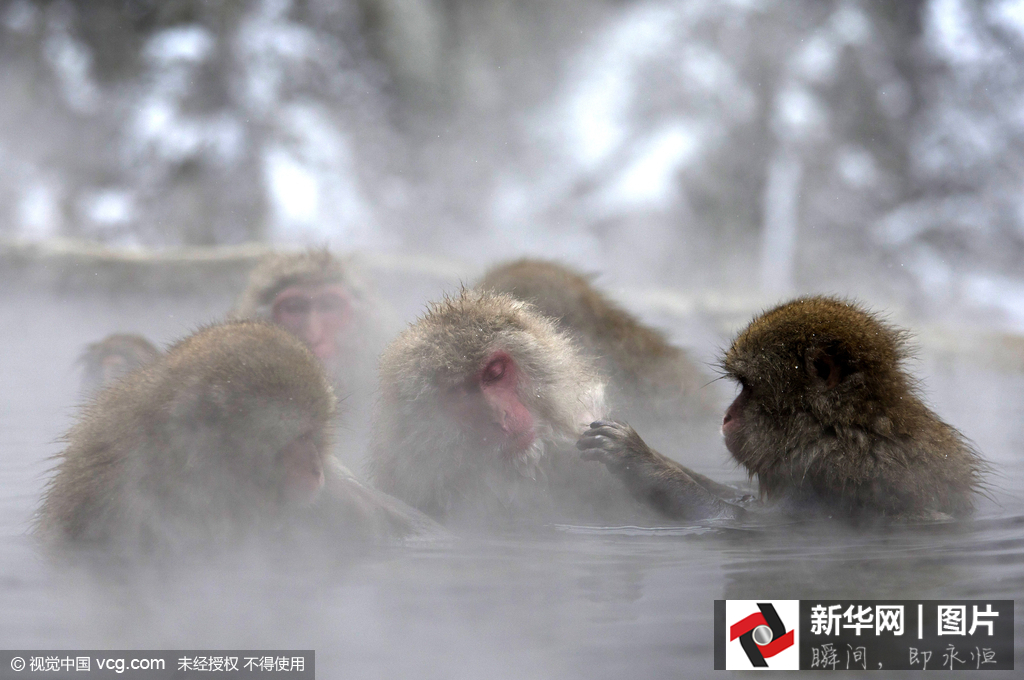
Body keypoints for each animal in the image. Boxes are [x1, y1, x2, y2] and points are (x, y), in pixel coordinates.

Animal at [577, 296, 983, 520]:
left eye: (749, 387)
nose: (727, 416)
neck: (835, 429)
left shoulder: (837, 473)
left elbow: (741, 521)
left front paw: (636, 458)